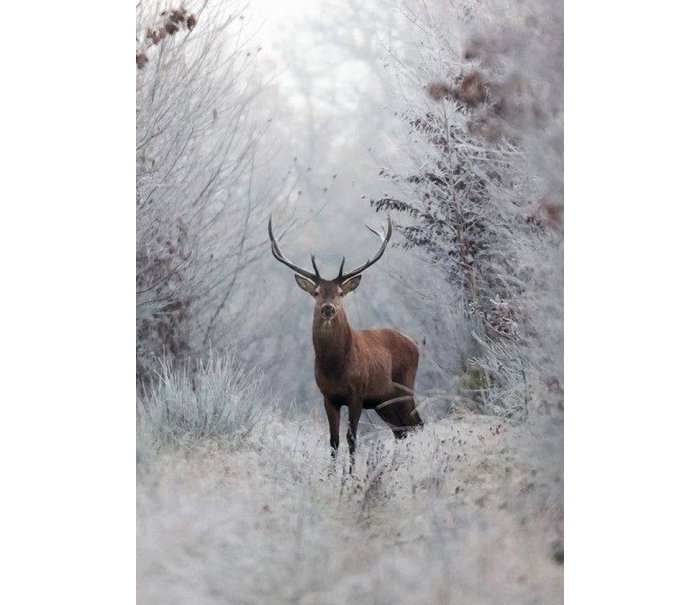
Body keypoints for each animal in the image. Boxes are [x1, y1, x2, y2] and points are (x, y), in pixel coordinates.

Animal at [268, 216, 423, 468]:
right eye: (316, 292)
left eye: (341, 292)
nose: (328, 308)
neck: (336, 367)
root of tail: (414, 343)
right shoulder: (328, 396)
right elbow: (334, 440)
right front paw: (331, 474)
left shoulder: (356, 393)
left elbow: (352, 438)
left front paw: (350, 474)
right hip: (383, 401)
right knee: (401, 430)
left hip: (405, 386)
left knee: (416, 424)